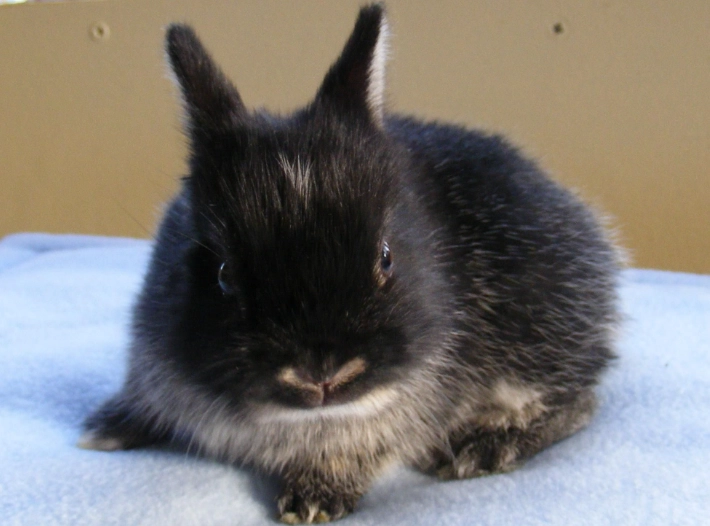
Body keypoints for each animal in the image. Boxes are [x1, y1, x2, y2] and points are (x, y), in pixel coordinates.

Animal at [79, 4, 621, 524]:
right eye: (223, 275)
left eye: (386, 256)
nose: (322, 374)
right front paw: (107, 428)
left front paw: (313, 499)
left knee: (580, 402)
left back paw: (483, 447)